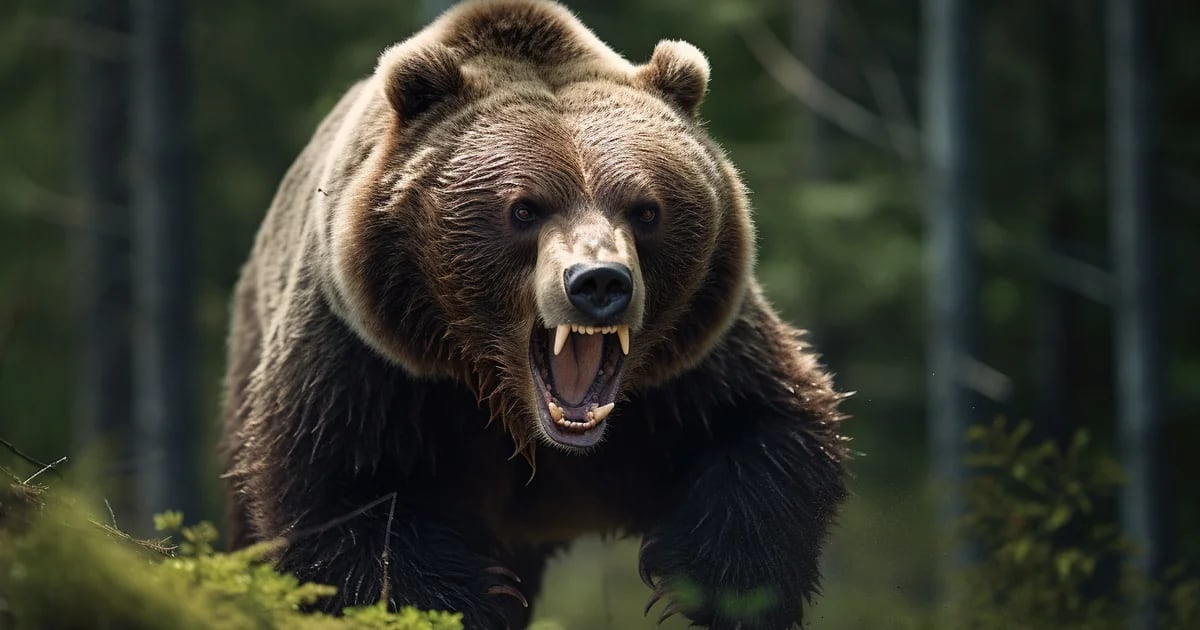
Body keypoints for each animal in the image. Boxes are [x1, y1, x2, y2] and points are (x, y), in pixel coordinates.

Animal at [220, 1, 849, 628]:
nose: (600, 282)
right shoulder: (368, 362)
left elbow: (767, 427)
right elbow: (341, 500)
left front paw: (720, 585)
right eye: (524, 209)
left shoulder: (698, 357)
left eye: (646, 210)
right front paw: (475, 598)